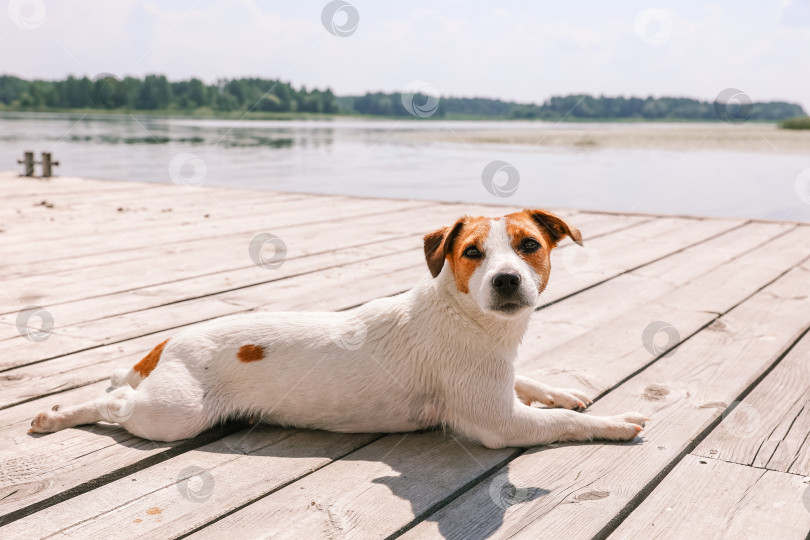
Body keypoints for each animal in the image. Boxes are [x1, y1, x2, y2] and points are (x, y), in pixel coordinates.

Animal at [30, 208, 644, 448]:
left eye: (528, 246)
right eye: (472, 252)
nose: (508, 280)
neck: (468, 318)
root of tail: (166, 342)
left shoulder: (500, 381)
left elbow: (534, 382)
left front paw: (564, 389)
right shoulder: (499, 422)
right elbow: (564, 424)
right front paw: (616, 423)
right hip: (174, 415)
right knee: (110, 404)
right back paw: (55, 415)